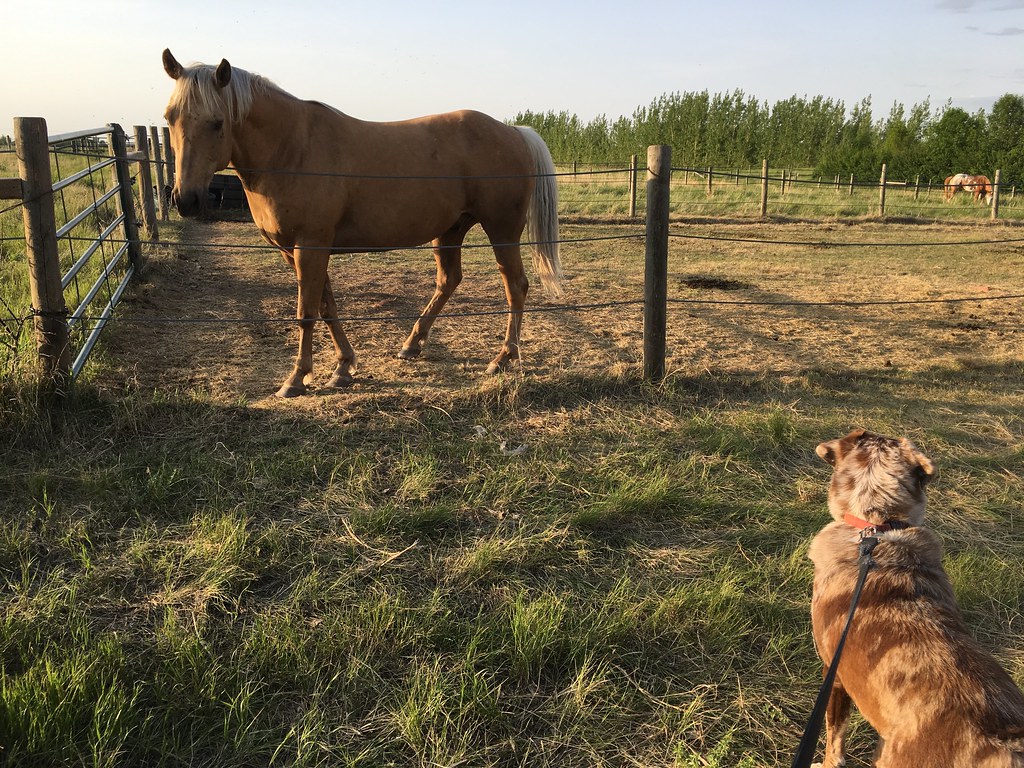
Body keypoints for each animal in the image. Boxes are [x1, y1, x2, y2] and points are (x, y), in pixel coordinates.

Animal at [161, 49, 562, 397]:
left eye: (217, 123)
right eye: (169, 117)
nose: (186, 200)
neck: (291, 149)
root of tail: (515, 131)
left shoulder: (310, 246)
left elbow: (306, 313)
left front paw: (296, 379)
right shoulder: (298, 251)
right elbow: (326, 306)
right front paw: (343, 367)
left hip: (501, 230)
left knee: (515, 286)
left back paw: (503, 358)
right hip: (450, 230)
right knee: (449, 281)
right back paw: (412, 345)